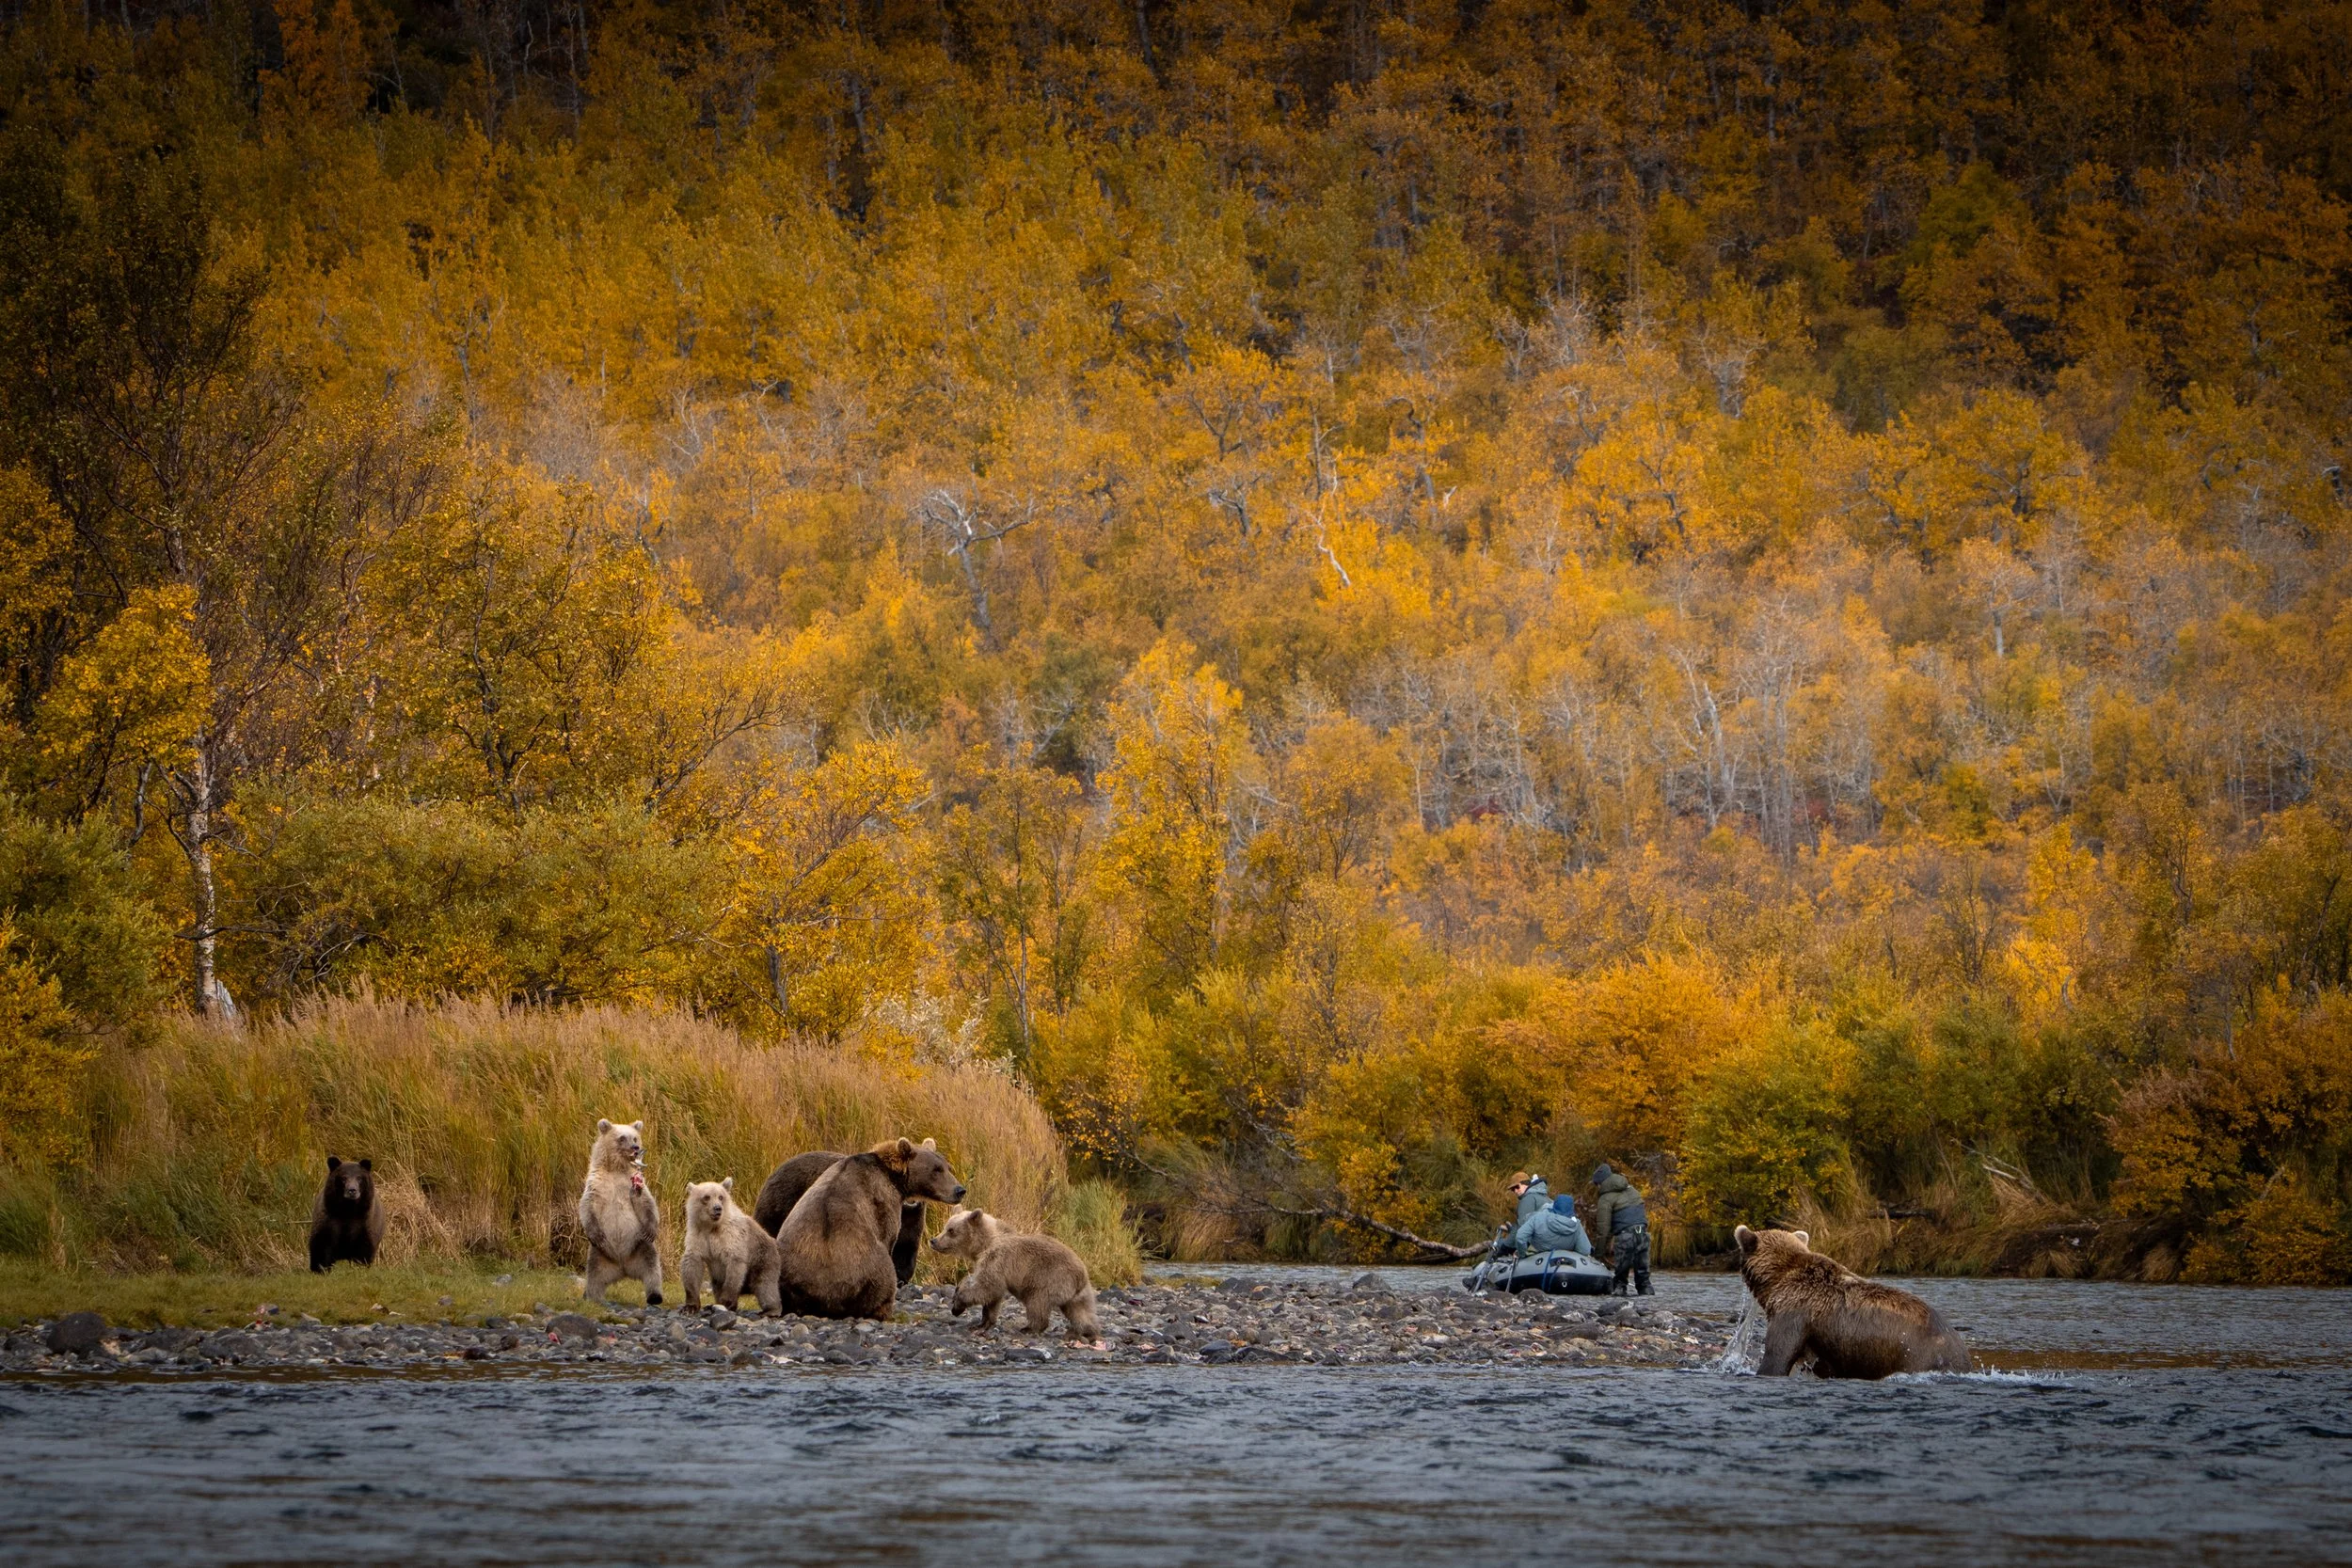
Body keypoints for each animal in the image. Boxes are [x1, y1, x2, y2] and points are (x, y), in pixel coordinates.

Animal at [579, 1118, 664, 1306]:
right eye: (622, 1137)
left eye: (635, 1138)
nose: (636, 1148)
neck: (616, 1168)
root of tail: (622, 1267)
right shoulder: (597, 1184)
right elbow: (587, 1205)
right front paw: (596, 1233)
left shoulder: (630, 1183)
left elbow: (646, 1202)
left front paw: (651, 1229)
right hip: (599, 1253)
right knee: (594, 1275)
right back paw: (592, 1296)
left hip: (639, 1244)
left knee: (652, 1267)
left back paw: (655, 1296)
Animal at [680, 1177, 783, 1316]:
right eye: (706, 1197)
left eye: (721, 1197)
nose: (717, 1208)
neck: (711, 1227)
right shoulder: (698, 1237)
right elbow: (692, 1264)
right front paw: (690, 1307)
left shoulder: (731, 1237)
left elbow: (734, 1264)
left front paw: (725, 1303)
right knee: (717, 1285)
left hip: (763, 1258)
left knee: (765, 1285)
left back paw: (769, 1310)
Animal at [775, 1137, 966, 1320]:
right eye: (936, 1170)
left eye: (947, 1167)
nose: (960, 1190)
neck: (893, 1178)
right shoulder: (884, 1204)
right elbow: (890, 1239)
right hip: (869, 1275)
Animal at [929, 1208, 1100, 1340]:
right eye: (945, 1226)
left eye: (951, 1230)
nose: (933, 1240)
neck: (983, 1245)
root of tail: (1080, 1275)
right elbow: (992, 1299)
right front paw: (982, 1323)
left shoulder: (997, 1259)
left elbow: (988, 1288)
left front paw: (958, 1303)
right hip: (1080, 1293)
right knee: (1081, 1312)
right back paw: (1085, 1331)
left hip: (1047, 1280)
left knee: (1037, 1304)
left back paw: (1029, 1328)